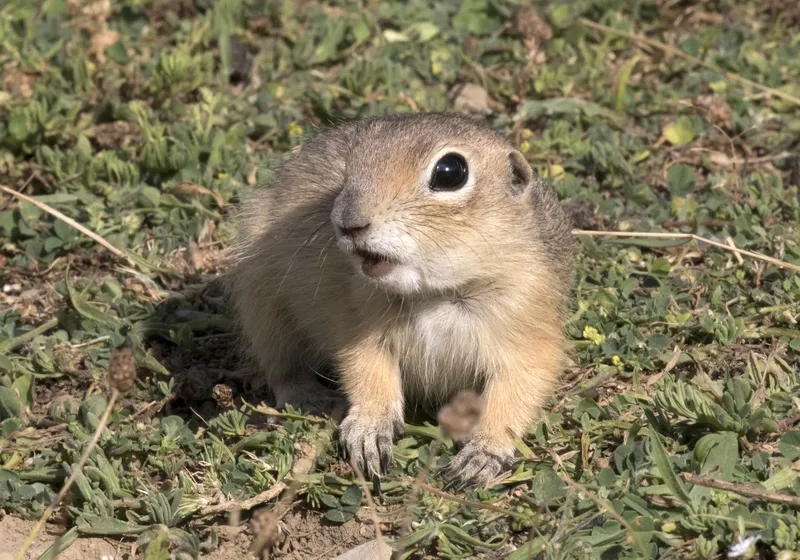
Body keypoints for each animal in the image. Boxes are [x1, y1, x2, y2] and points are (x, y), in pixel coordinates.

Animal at [228, 112, 575, 488]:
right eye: (352, 159)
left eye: (450, 172)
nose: (348, 222)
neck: (434, 294)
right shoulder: (358, 323)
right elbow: (366, 371)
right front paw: (369, 431)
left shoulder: (528, 317)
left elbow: (519, 387)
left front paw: (483, 454)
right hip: (263, 308)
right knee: (283, 371)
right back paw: (311, 396)